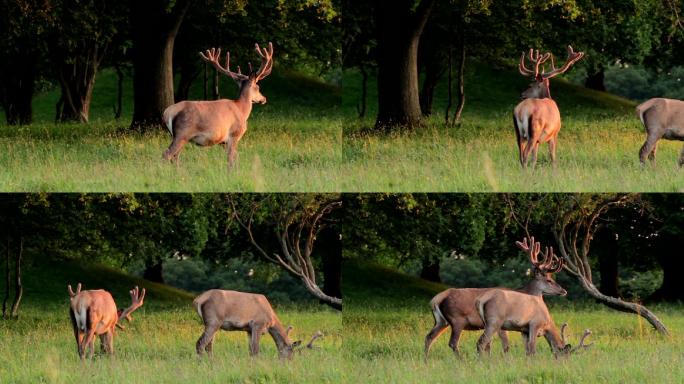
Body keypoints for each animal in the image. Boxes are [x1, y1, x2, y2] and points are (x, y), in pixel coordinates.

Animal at [162, 42, 274, 170]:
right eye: (258, 87)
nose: (264, 99)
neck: (241, 110)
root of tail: (167, 112)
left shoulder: (223, 142)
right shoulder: (234, 134)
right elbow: (231, 159)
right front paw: (232, 173)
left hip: (178, 136)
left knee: (175, 157)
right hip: (182, 133)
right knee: (167, 154)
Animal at [191, 288, 322, 360]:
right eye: (291, 351)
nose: (289, 361)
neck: (271, 320)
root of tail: (198, 300)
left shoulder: (248, 329)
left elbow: (250, 350)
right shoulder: (257, 324)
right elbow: (256, 349)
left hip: (211, 323)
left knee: (209, 345)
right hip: (213, 321)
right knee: (200, 343)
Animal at [424, 237, 564, 360]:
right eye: (549, 280)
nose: (563, 291)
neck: (525, 292)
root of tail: (436, 299)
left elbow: (489, 346)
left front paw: (490, 359)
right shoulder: (501, 325)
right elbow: (505, 346)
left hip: (442, 321)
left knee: (429, 337)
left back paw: (426, 359)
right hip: (458, 320)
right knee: (453, 342)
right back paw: (461, 360)